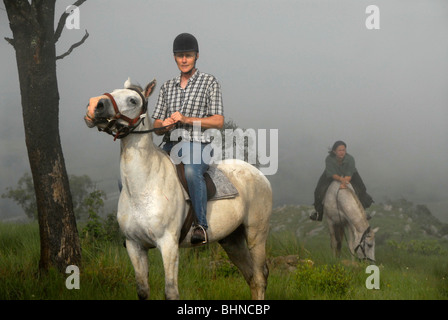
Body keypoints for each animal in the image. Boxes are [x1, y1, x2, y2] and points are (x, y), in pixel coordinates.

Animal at [84, 79, 272, 298]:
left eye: (132, 100)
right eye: (113, 91)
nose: (94, 105)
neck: (144, 188)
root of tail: (259, 175)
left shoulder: (168, 245)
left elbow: (171, 292)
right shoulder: (134, 246)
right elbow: (142, 291)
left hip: (256, 234)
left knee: (259, 277)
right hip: (231, 240)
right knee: (251, 277)